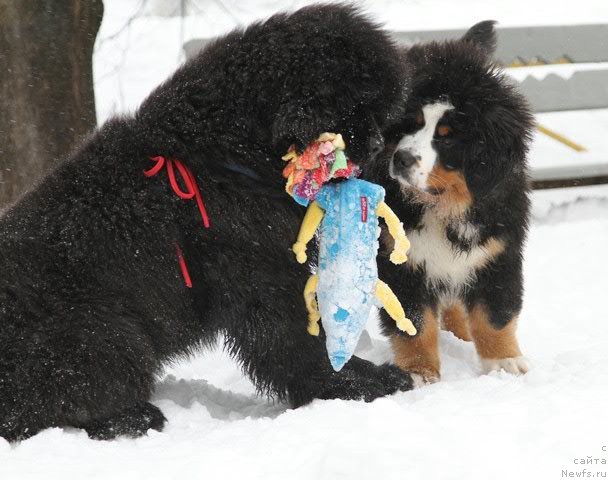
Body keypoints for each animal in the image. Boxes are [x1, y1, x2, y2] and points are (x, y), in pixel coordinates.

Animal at [0, 4, 414, 442]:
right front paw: (360, 383)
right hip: (107, 335)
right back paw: (135, 417)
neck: (223, 152)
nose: (376, 145)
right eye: (353, 105)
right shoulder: (260, 271)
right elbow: (294, 340)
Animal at [366, 21, 532, 382]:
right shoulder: (400, 260)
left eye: (447, 137)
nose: (401, 159)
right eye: (411, 124)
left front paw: (503, 362)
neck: (444, 207)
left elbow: (494, 315)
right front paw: (420, 372)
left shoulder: (498, 252)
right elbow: (413, 322)